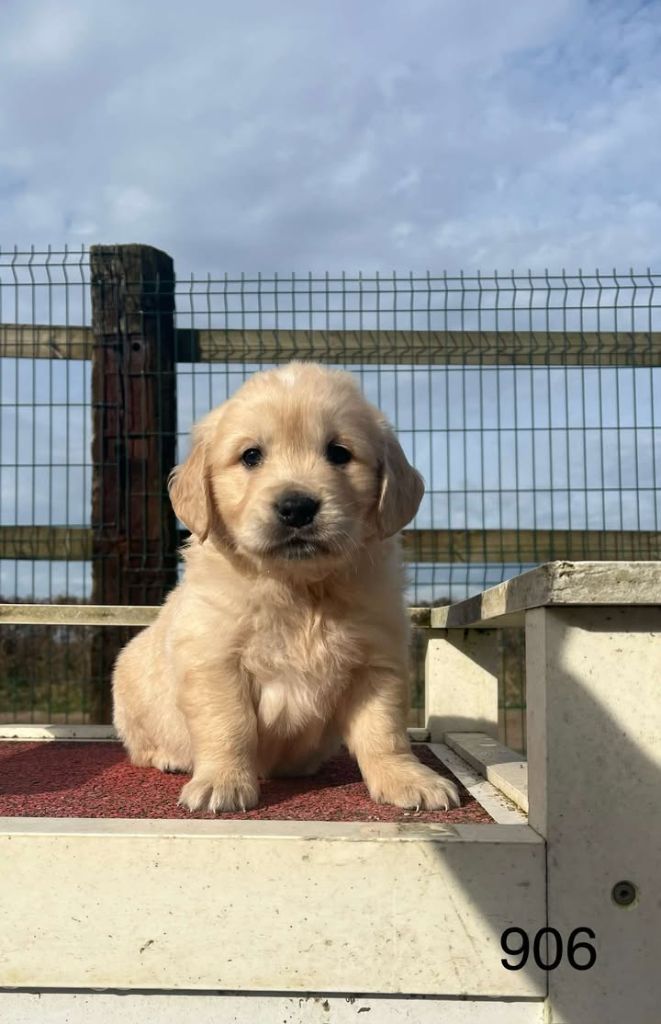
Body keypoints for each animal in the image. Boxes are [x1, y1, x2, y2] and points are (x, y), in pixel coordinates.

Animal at [112, 360, 460, 815]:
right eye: (251, 455)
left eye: (339, 453)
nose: (297, 507)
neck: (299, 588)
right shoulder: (215, 660)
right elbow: (229, 724)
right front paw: (222, 781)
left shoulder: (377, 662)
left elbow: (384, 730)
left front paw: (408, 777)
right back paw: (167, 756)